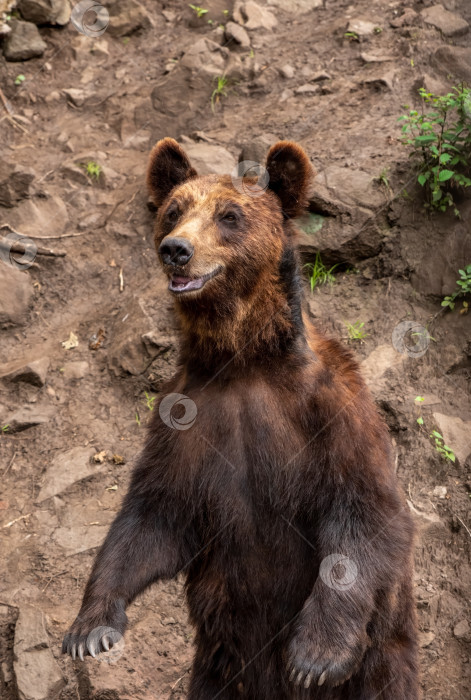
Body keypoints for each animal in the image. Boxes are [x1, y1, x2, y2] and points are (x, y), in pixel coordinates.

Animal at [62, 139, 420, 696]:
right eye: (174, 211)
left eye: (229, 216)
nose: (176, 249)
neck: (243, 361)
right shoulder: (186, 420)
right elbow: (151, 518)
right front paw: (90, 628)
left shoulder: (332, 409)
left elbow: (366, 511)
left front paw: (314, 656)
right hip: (221, 662)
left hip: (382, 655)